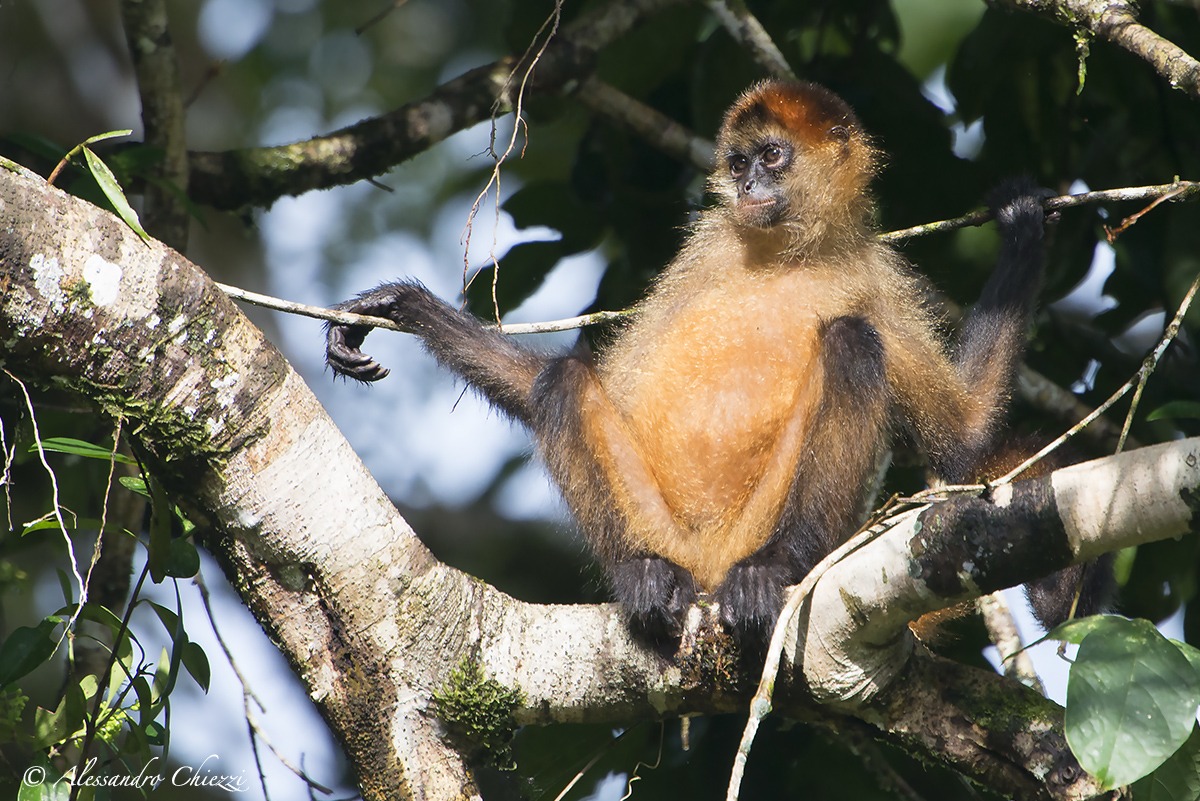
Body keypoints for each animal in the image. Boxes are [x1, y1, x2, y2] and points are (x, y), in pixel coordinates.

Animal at [326, 80, 1063, 641]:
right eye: (738, 164)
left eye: (773, 156)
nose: (750, 185)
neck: (783, 258)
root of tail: (709, 562)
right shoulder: (704, 248)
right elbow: (573, 382)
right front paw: (403, 306)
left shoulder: (877, 274)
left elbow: (962, 438)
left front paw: (1024, 231)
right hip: (659, 521)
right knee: (564, 381)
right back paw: (641, 574)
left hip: (759, 518)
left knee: (853, 342)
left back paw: (775, 568)